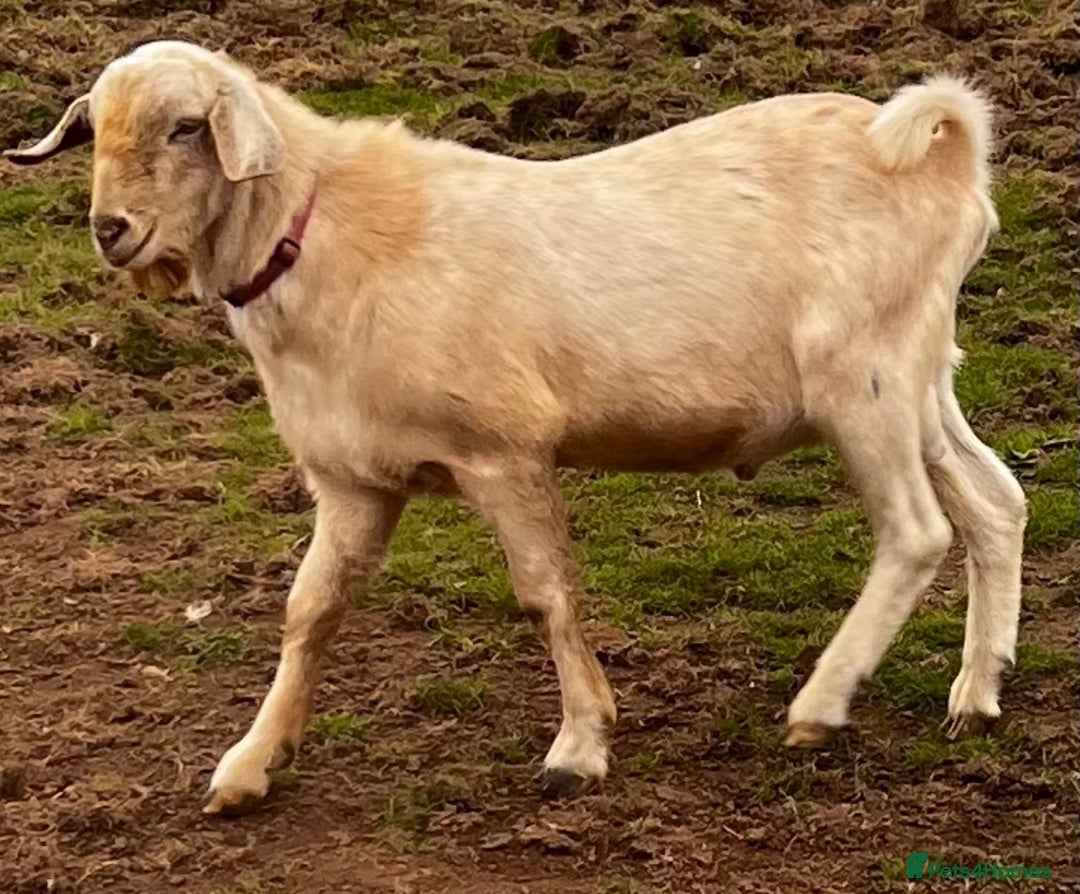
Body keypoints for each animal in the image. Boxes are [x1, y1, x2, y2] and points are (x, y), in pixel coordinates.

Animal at [6, 40, 1026, 817]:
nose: (111, 229)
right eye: (92, 130)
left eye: (186, 127)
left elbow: (546, 596)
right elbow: (310, 610)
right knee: (994, 500)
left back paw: (821, 703)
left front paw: (578, 746)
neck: (324, 236)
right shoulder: (354, 479)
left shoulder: (503, 451)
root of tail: (942, 157)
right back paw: (976, 695)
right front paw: (249, 765)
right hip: (919, 379)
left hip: (862, 380)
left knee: (916, 531)